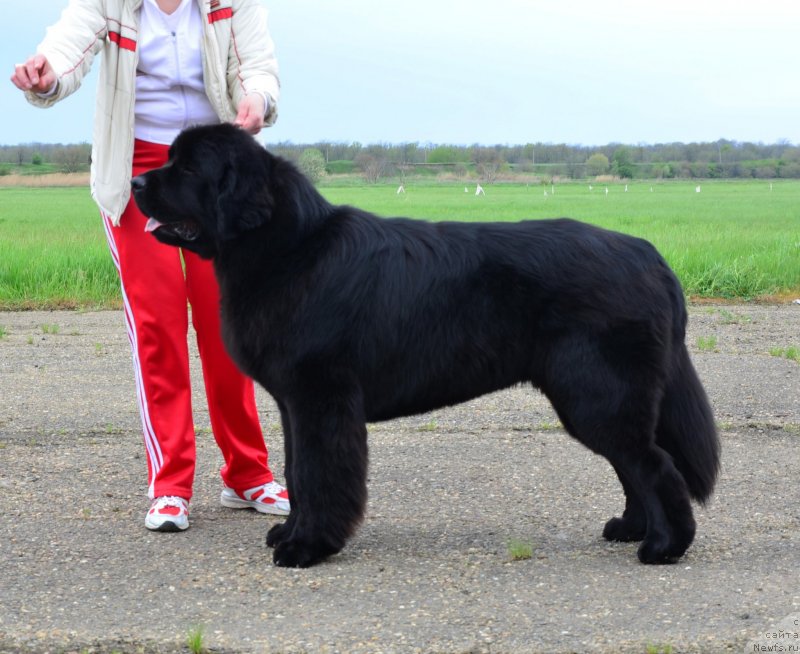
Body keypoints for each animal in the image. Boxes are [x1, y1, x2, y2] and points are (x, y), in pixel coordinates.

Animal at [131, 124, 720, 568]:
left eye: (189, 169)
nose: (135, 181)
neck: (290, 250)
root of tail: (650, 256)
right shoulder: (296, 406)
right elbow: (298, 472)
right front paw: (291, 533)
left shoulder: (322, 400)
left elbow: (320, 475)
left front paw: (308, 547)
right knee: (636, 464)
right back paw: (631, 528)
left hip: (597, 395)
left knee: (654, 465)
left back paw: (665, 547)